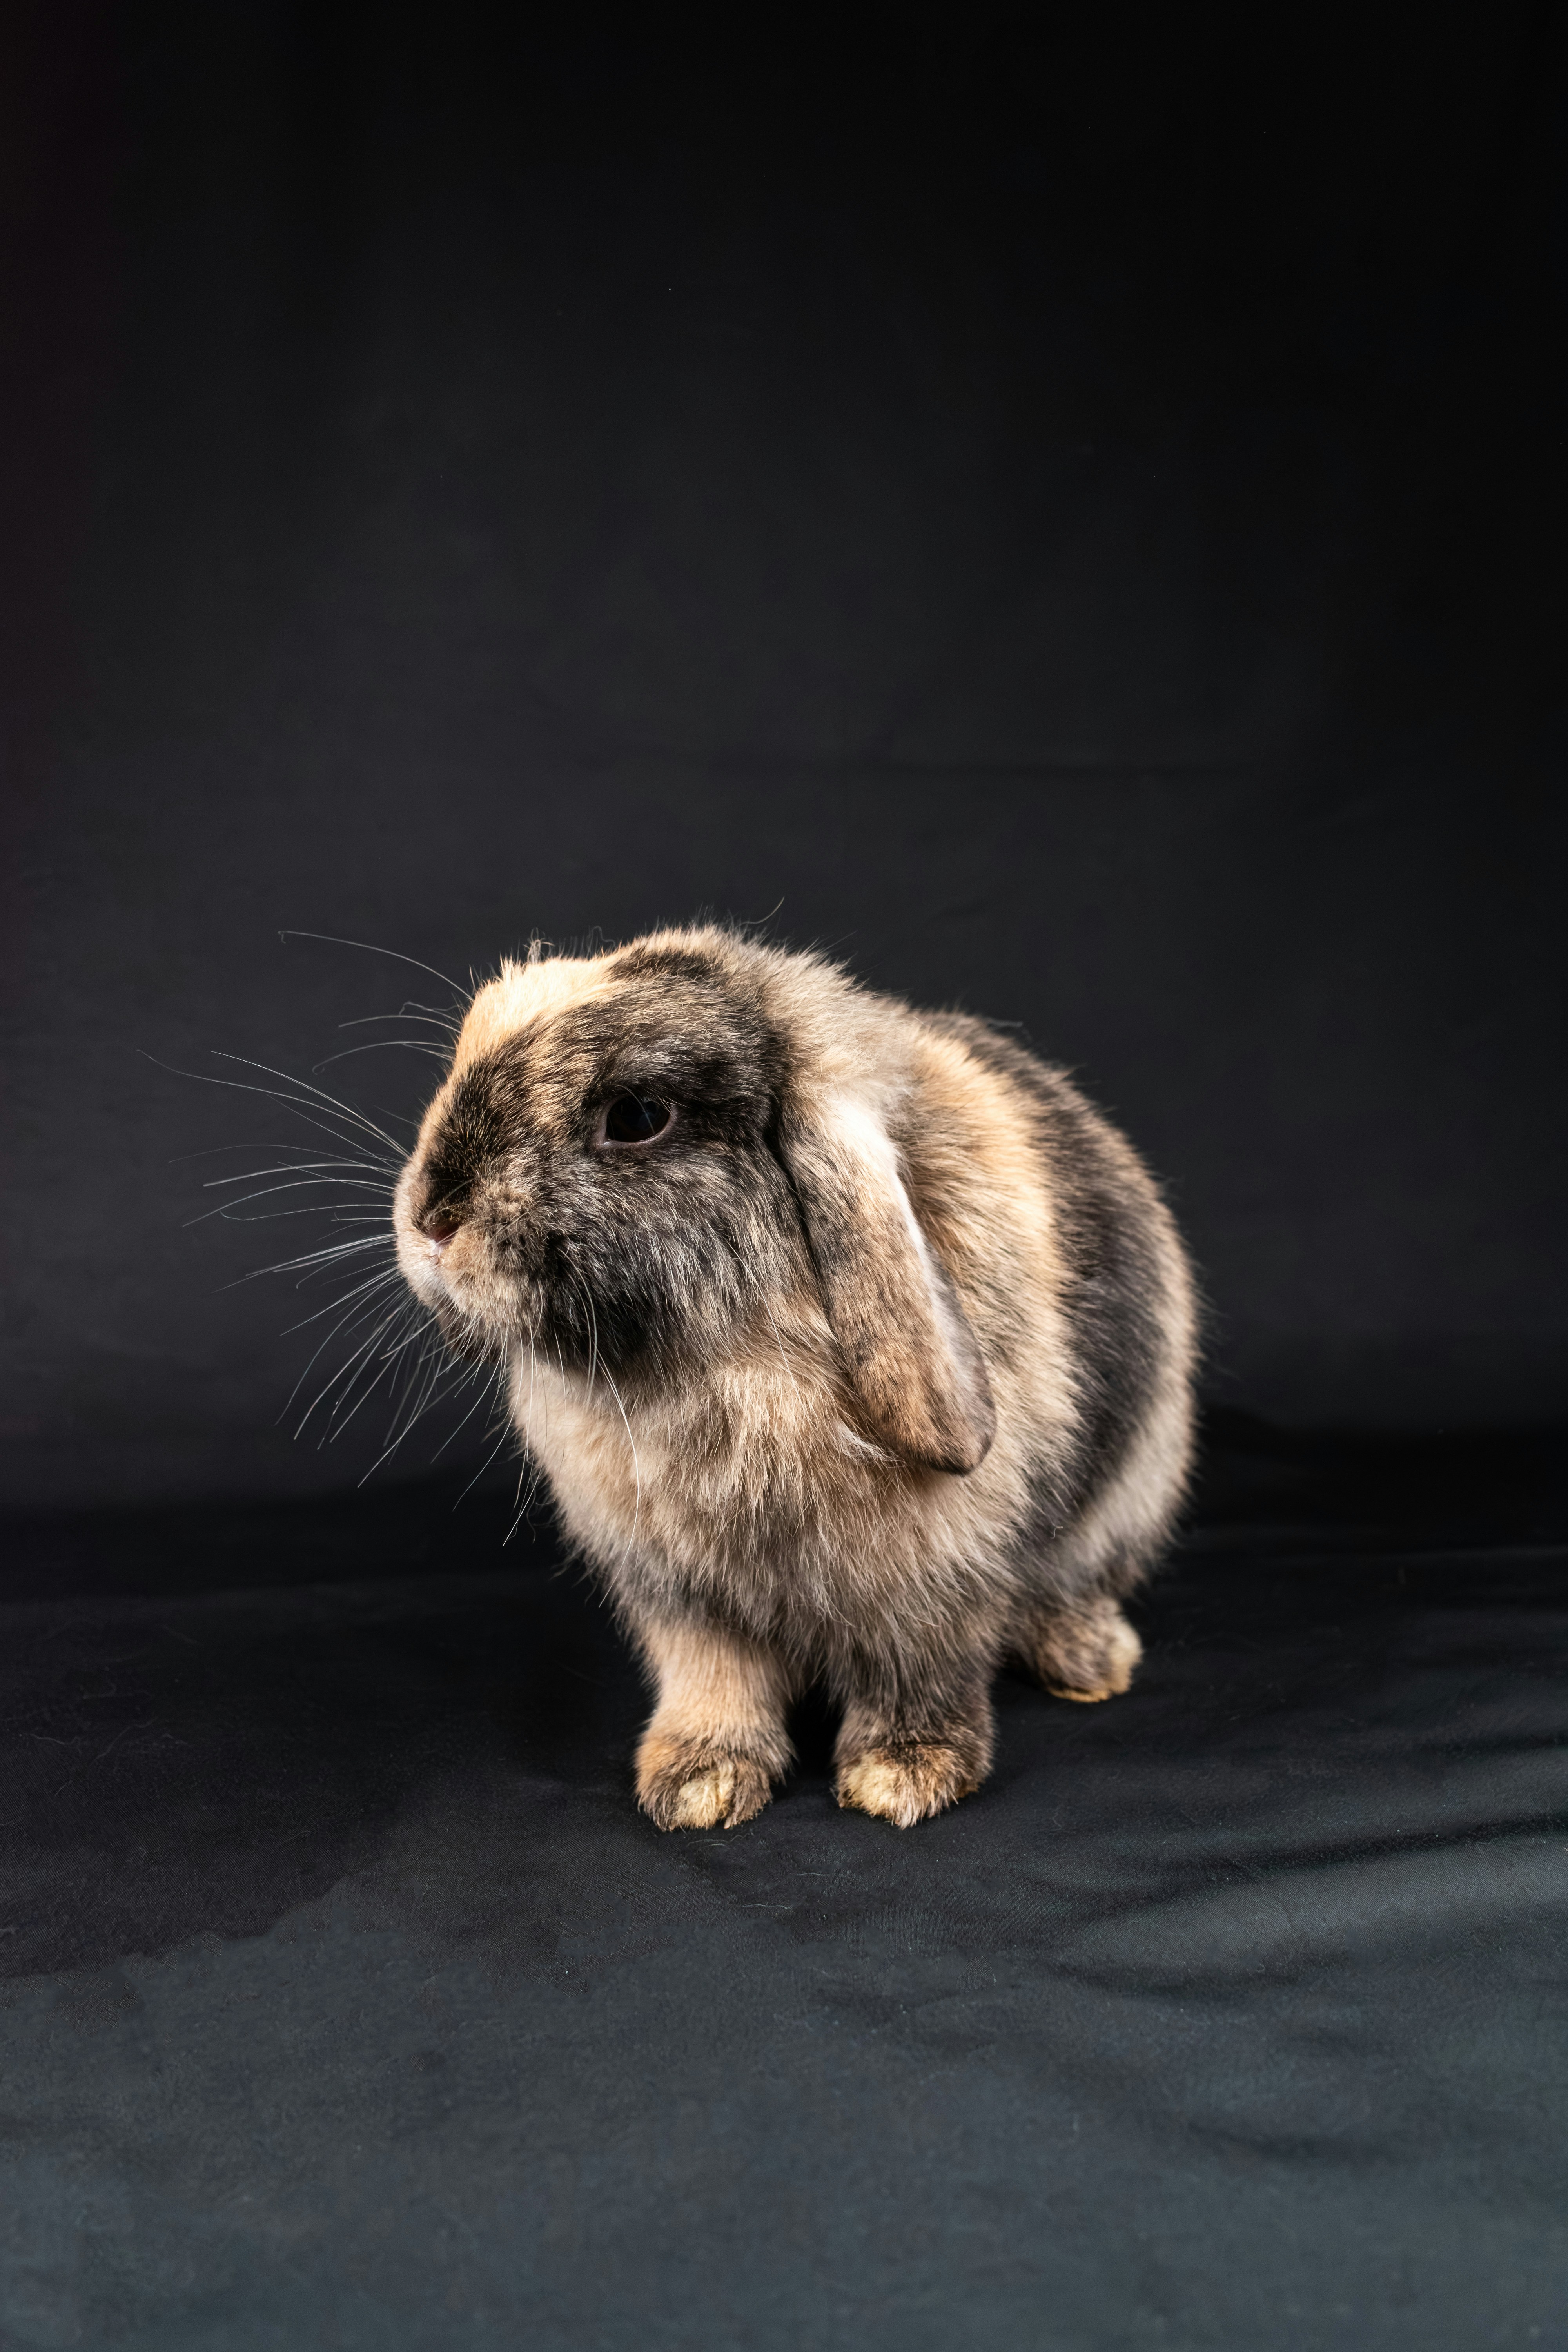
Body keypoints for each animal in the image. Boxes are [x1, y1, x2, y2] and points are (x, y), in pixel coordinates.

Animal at [390, 927, 1189, 1825]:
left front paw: (900, 1777)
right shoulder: (682, 1596)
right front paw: (697, 1785)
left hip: (1128, 1496)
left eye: (637, 1116)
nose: (431, 1219)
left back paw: (1089, 1664)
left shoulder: (931, 1581)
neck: (716, 1364)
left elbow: (919, 1671)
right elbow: (715, 1681)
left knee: (1073, 1585)